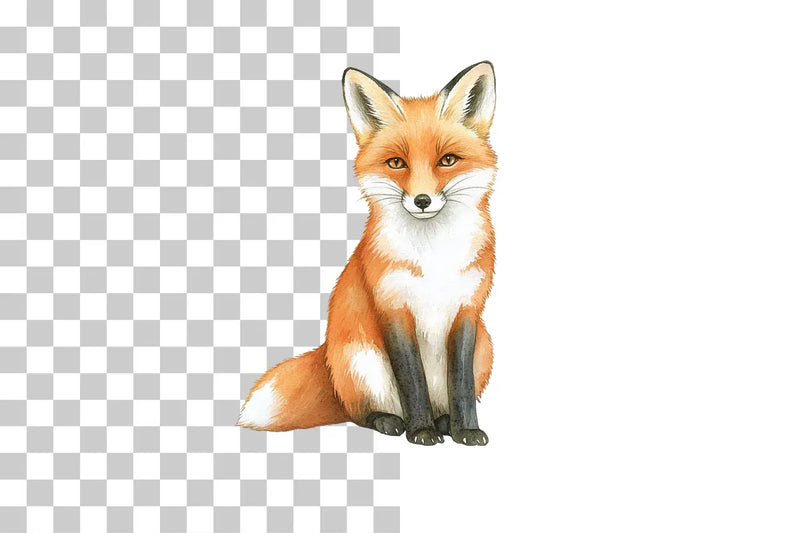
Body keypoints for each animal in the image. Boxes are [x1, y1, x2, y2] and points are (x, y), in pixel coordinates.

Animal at [238, 61, 497, 446]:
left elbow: (461, 383)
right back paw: (393, 421)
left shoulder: (467, 309)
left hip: (486, 347)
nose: (422, 200)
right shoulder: (392, 307)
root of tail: (327, 353)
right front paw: (420, 431)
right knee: (358, 412)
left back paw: (444, 422)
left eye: (448, 160)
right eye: (396, 163)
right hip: (362, 362)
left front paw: (465, 429)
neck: (433, 257)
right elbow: (412, 378)